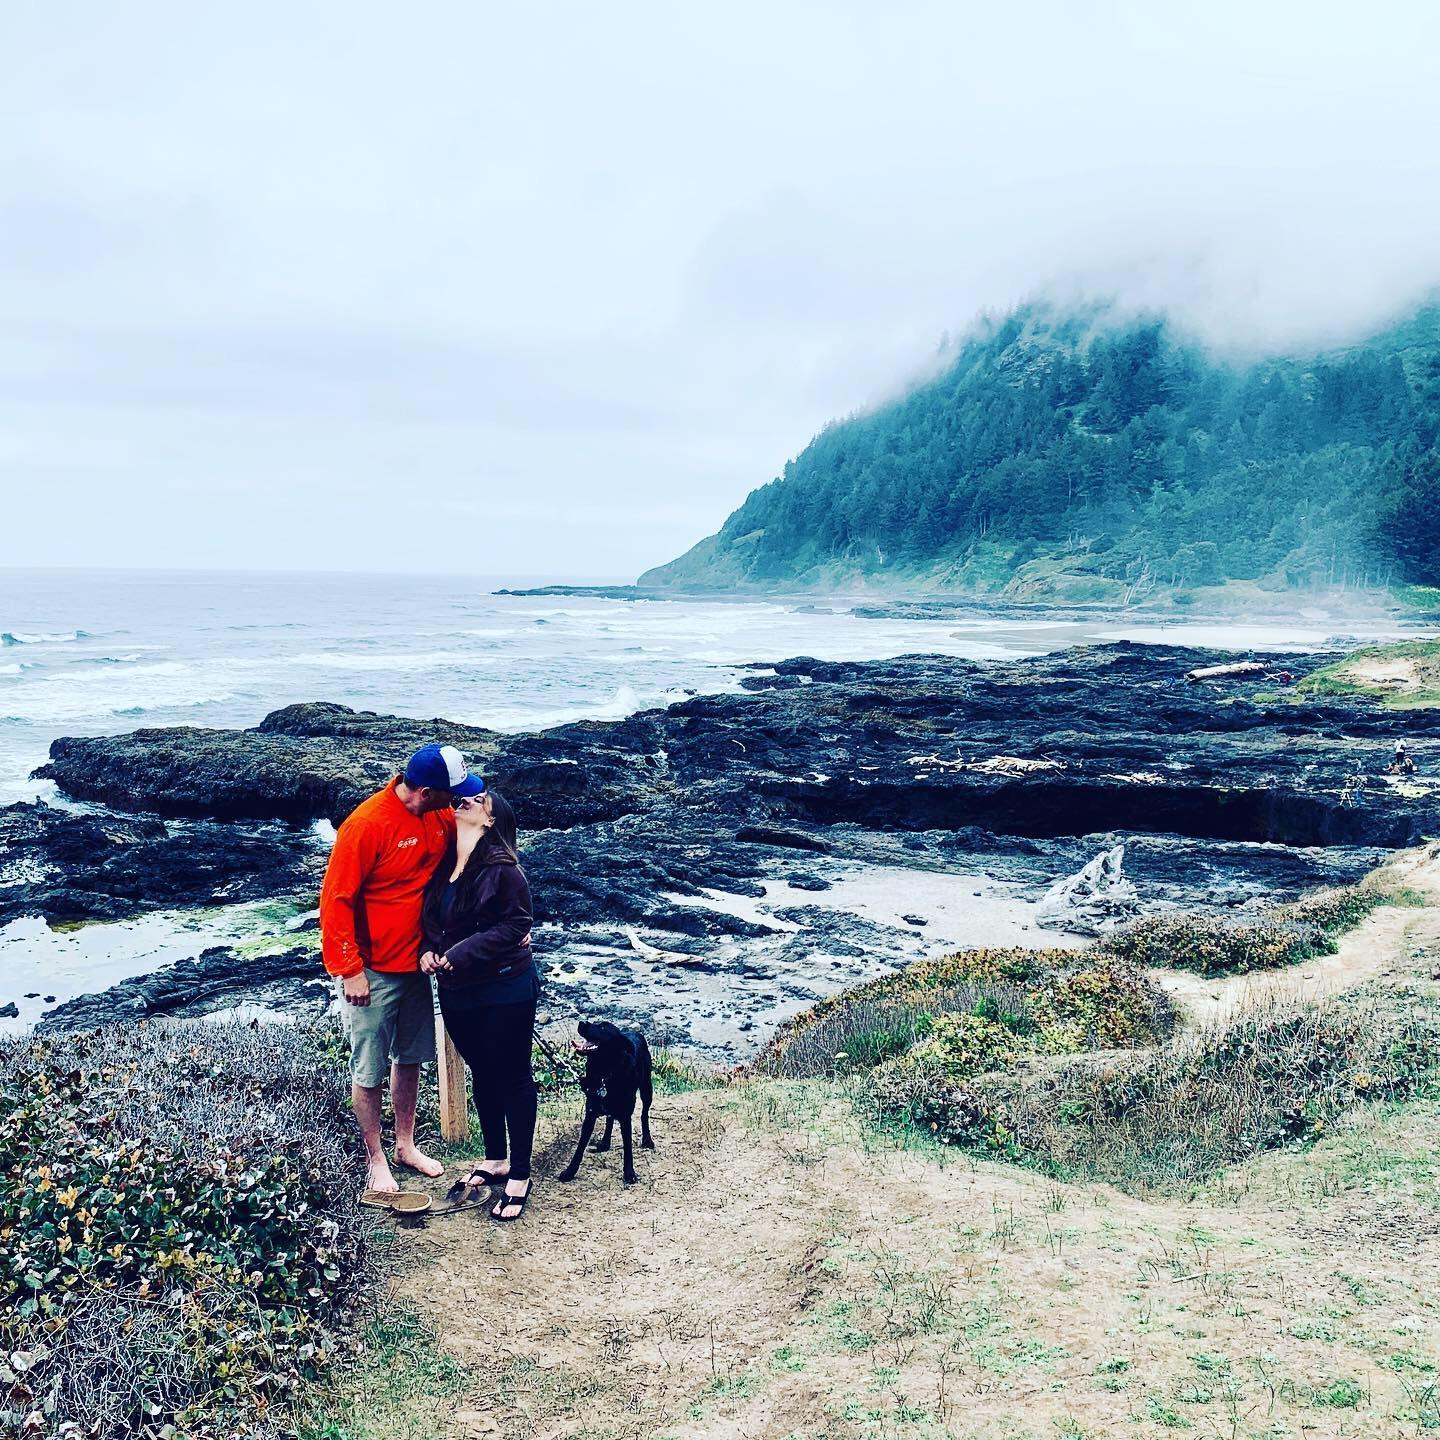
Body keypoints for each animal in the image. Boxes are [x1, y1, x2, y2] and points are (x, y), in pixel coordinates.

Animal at [555, 1019, 659, 1186]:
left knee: (644, 1114)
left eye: (603, 1027)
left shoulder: (625, 1117)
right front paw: (570, 1171)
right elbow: (580, 1147)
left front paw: (629, 1173)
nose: (581, 1022)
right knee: (610, 1118)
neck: (604, 1073)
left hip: (646, 1089)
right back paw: (605, 1142)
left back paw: (647, 1139)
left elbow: (628, 1147)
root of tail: (634, 1032)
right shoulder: (590, 1115)